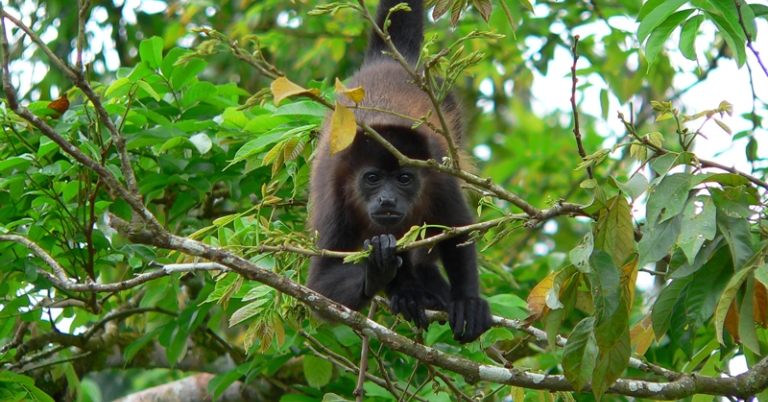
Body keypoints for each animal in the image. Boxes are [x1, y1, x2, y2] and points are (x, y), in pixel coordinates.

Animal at [306, 0, 492, 343]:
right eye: (372, 178)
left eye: (404, 178)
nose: (387, 200)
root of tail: (388, 60)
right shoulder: (335, 198)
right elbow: (321, 285)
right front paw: (377, 268)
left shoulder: (438, 176)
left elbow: (457, 230)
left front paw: (467, 301)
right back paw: (407, 291)